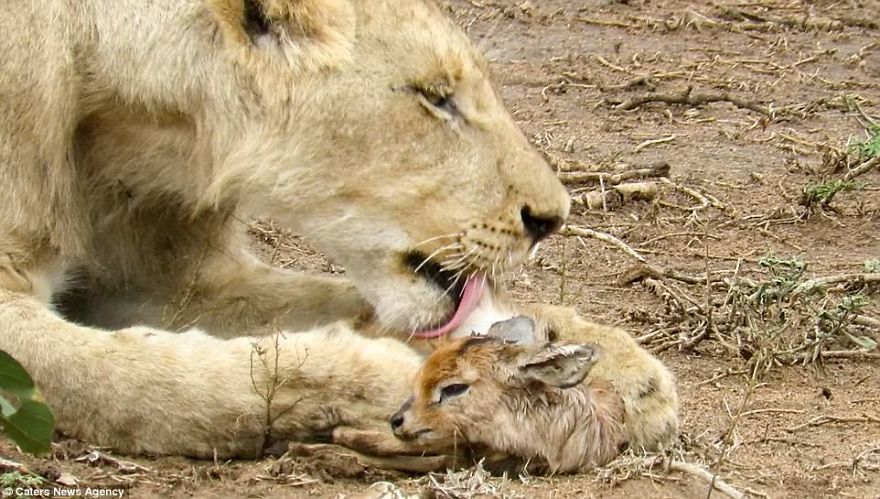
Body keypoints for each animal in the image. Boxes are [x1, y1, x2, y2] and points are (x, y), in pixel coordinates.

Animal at [0, 0, 678, 459]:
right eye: (434, 96)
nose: (551, 219)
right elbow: (153, 377)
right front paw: (393, 378)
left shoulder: (165, 276)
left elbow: (334, 301)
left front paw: (605, 359)